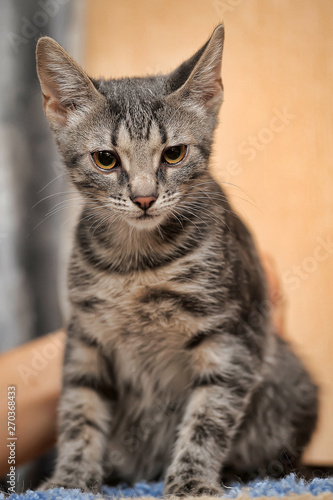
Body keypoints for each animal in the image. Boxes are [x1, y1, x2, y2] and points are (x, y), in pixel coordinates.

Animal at [35, 26, 316, 496]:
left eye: (174, 154)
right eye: (105, 159)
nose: (144, 197)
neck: (137, 263)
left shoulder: (230, 335)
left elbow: (208, 416)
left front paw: (191, 480)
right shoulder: (87, 336)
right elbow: (79, 409)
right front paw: (70, 480)